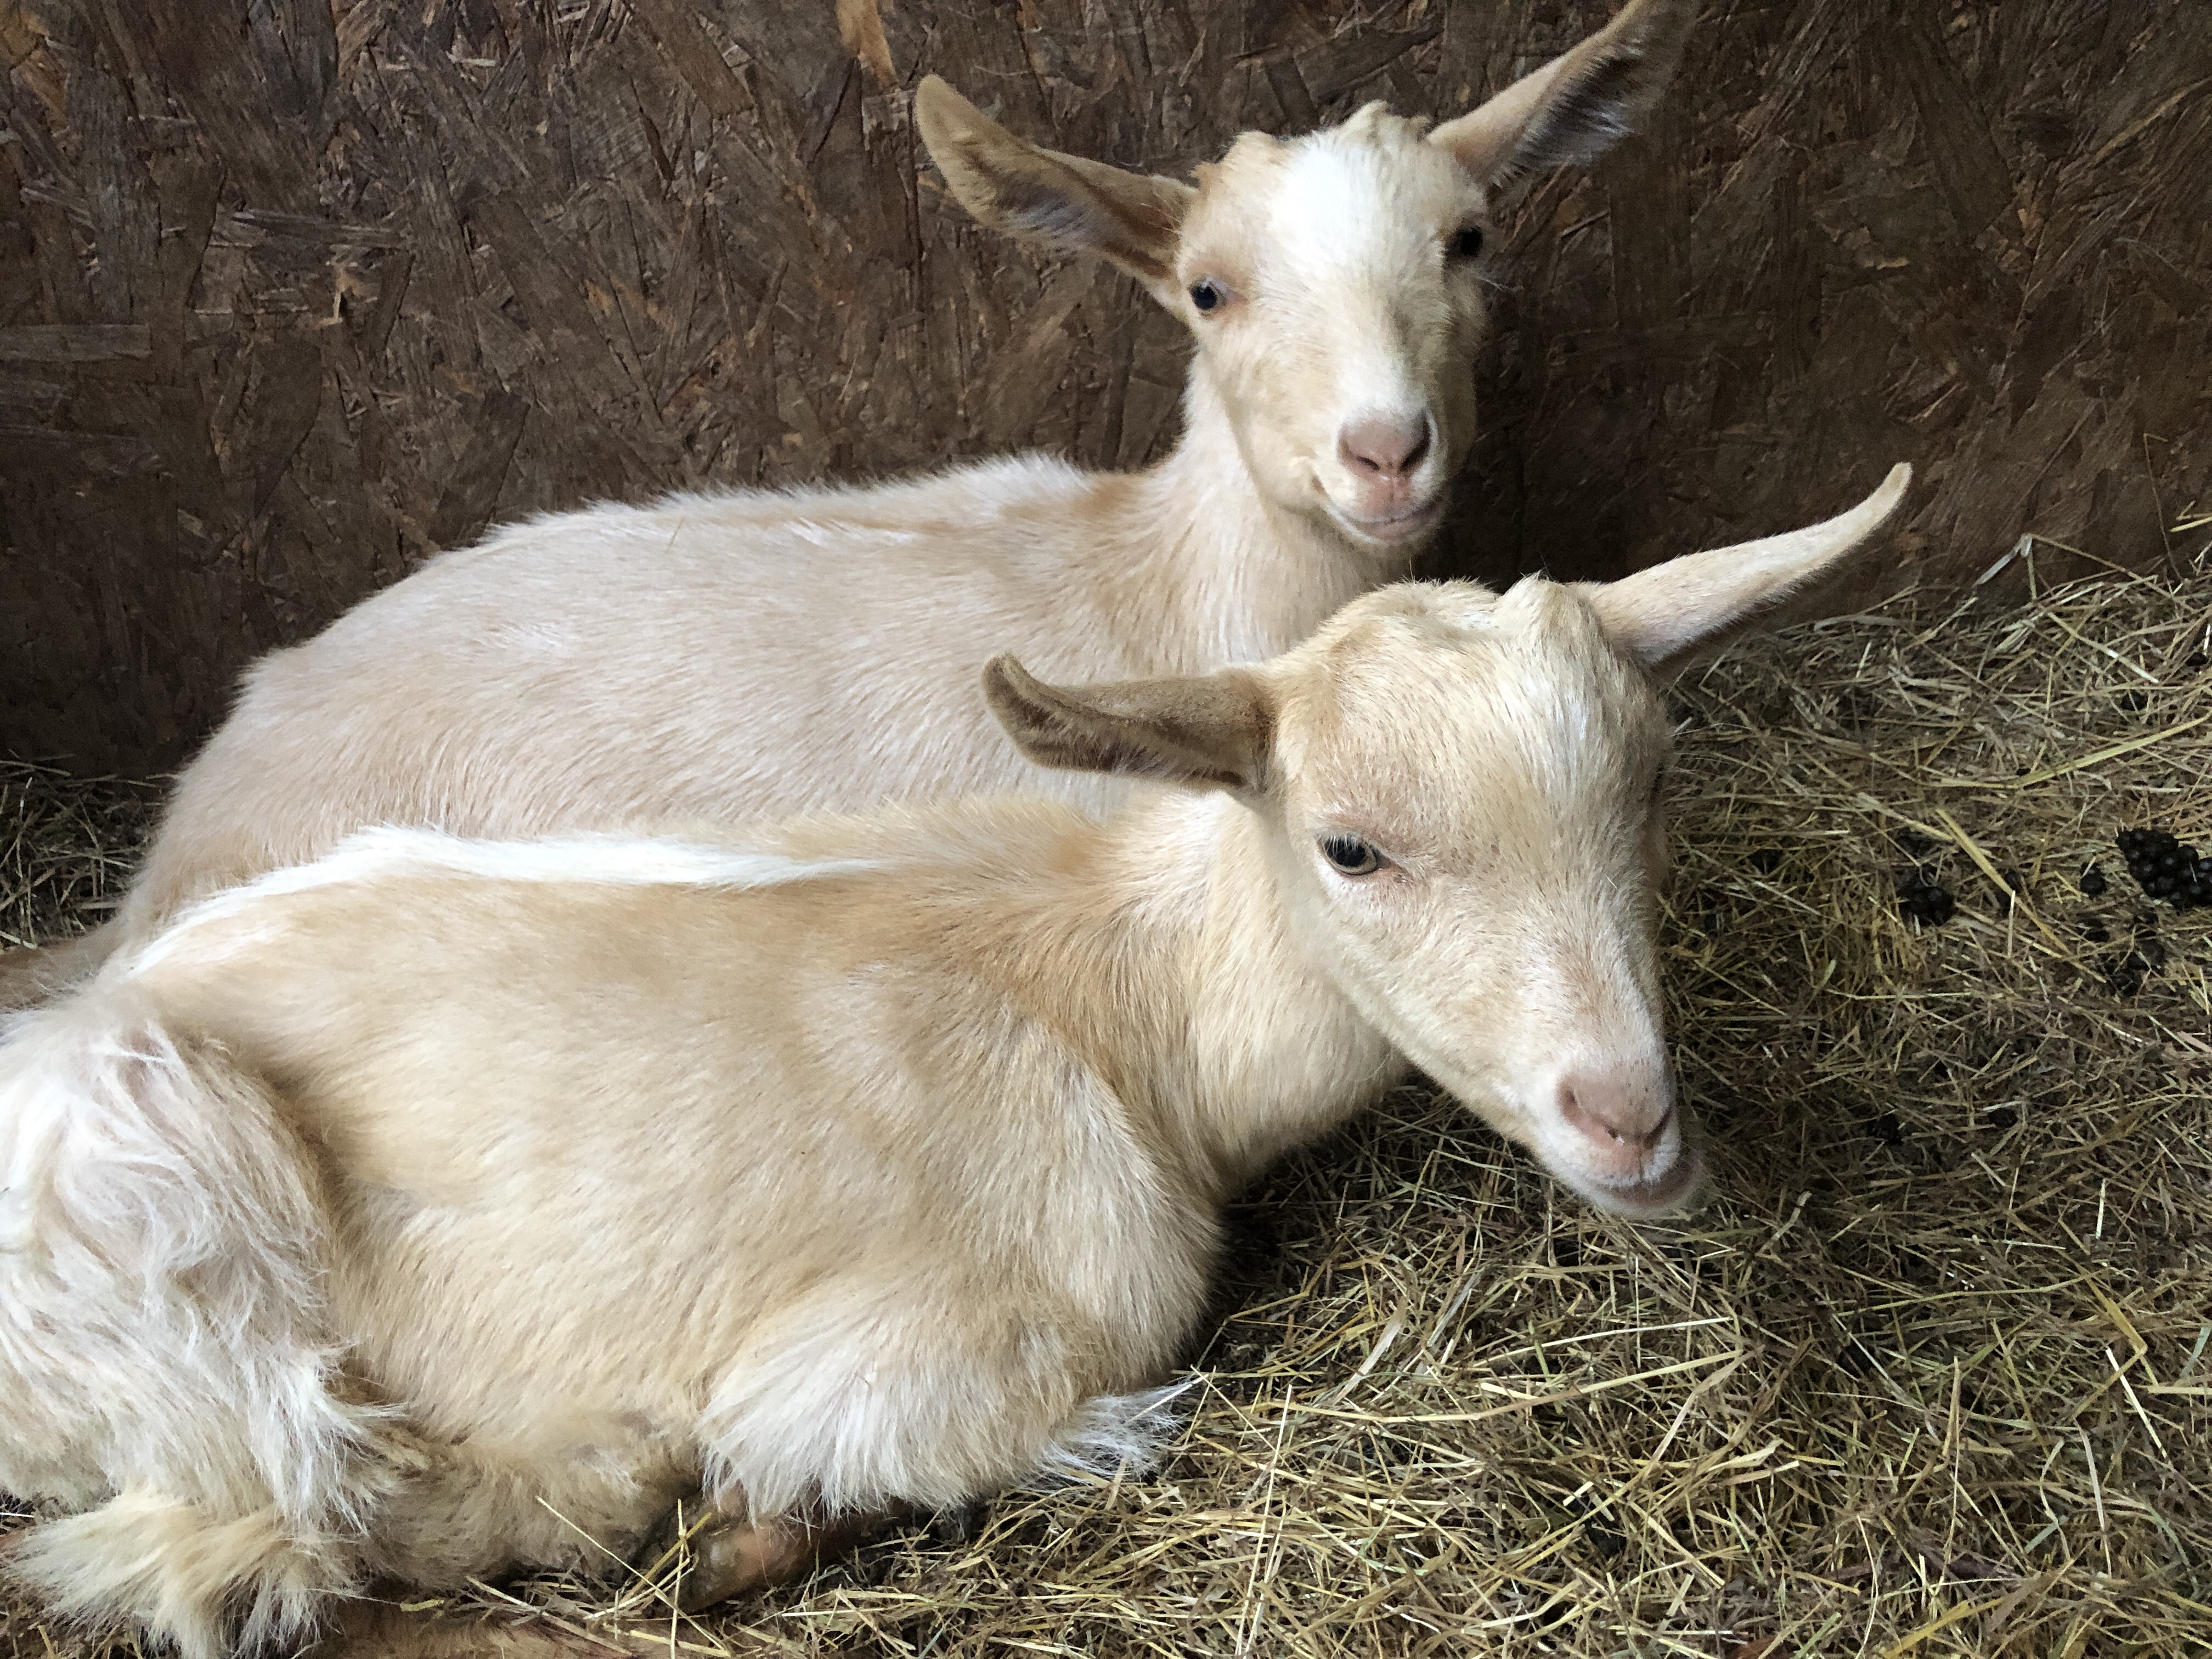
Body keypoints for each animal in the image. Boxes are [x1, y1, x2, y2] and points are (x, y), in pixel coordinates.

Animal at [0, 467, 1908, 1658]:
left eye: (1651, 786)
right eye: (1351, 847)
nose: (1631, 1118)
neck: (1131, 1006)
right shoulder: (939, 1353)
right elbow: (1010, 1431)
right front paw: (740, 1512)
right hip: (161, 1174)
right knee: (245, 1516)